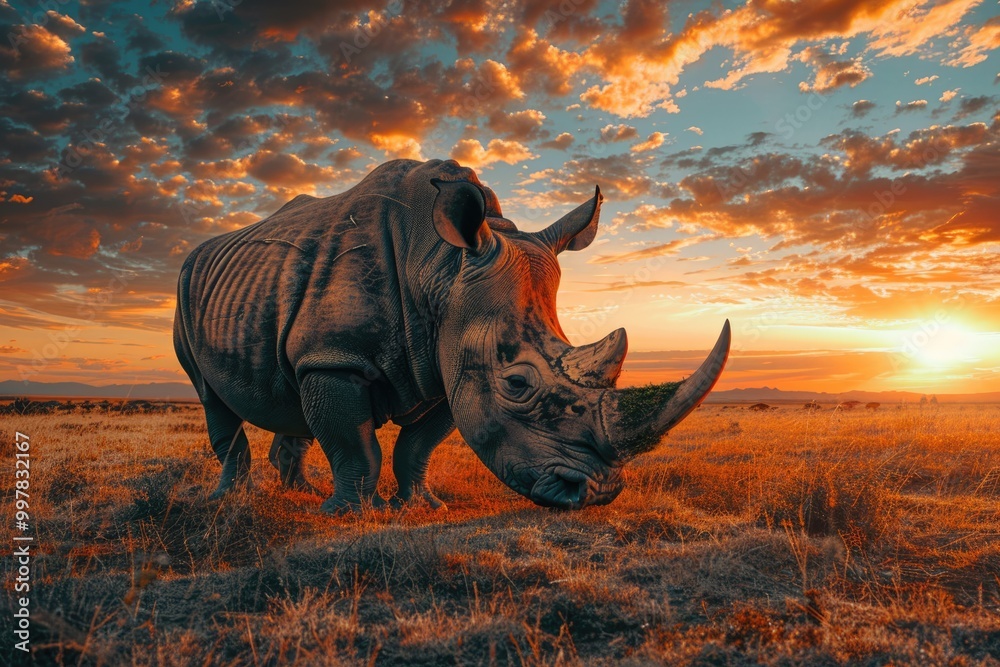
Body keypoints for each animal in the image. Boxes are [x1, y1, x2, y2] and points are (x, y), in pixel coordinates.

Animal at [173, 159, 730, 513]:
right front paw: (350, 515)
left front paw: (420, 506)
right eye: (517, 384)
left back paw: (303, 495)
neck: (441, 267)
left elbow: (417, 446)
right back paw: (233, 501)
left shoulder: (448, 363)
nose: (595, 494)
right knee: (211, 395)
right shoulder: (339, 356)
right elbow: (354, 443)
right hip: (187, 291)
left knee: (290, 390)